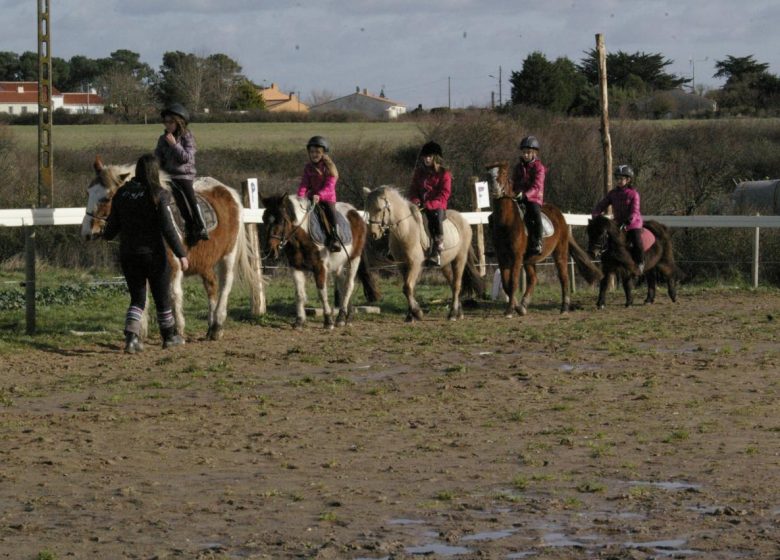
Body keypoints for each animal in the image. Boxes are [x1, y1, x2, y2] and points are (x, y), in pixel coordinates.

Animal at [81, 156, 260, 342]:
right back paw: (211, 327)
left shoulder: (173, 267)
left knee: (225, 284)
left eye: (107, 198)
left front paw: (177, 330)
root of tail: (228, 192)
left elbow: (173, 295)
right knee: (211, 285)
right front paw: (140, 332)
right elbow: (143, 297)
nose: (87, 232)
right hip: (205, 261)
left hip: (228, 255)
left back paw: (217, 326)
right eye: (89, 193)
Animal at [260, 192, 380, 328]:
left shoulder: (319, 267)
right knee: (342, 285)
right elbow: (299, 294)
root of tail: (355, 212)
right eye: (263, 218)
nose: (269, 251)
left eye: (281, 220)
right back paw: (347, 316)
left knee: (348, 285)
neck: (303, 236)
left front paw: (328, 320)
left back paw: (341, 317)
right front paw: (299, 320)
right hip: (337, 265)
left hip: (354, 259)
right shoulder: (295, 267)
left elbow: (322, 293)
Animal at [364, 186, 482, 322]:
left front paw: (417, 313)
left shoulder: (415, 264)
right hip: (445, 264)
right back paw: (459, 311)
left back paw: (453, 314)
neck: (405, 230)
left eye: (379, 209)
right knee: (452, 284)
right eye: (368, 209)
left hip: (460, 258)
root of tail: (463, 220)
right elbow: (409, 288)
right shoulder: (403, 265)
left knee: (457, 285)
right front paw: (411, 315)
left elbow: (407, 287)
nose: (373, 233)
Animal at [482, 164, 604, 318]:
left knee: (564, 277)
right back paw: (523, 305)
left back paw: (564, 307)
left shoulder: (516, 257)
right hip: (530, 259)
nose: (495, 190)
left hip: (559, 252)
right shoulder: (502, 257)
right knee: (533, 279)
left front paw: (510, 310)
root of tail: (560, 216)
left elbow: (513, 282)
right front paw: (516, 307)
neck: (507, 221)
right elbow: (506, 284)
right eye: (488, 175)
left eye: (503, 173)